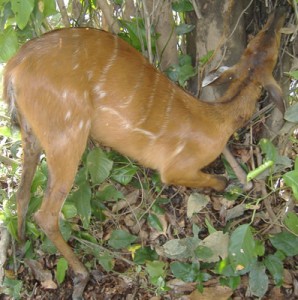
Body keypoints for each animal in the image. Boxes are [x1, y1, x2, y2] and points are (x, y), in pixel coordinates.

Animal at [2, 7, 286, 300]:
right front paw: (234, 185)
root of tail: (12, 68)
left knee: (21, 194)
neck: (219, 118)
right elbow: (217, 180)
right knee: (46, 213)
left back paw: (21, 245)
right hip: (67, 135)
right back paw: (83, 274)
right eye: (271, 41)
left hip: (30, 133)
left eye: (262, 40)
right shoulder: (175, 168)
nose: (280, 12)